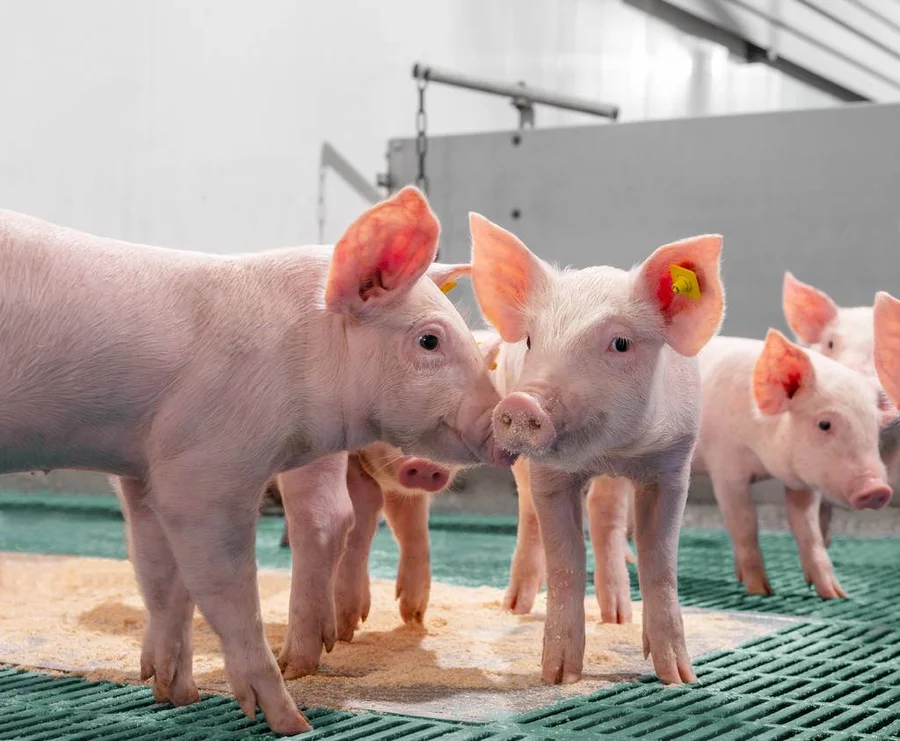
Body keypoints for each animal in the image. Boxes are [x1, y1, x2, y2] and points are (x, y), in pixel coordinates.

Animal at [0, 186, 509, 735]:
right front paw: (289, 722)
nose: (503, 424)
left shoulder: (152, 465)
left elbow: (163, 577)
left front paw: (176, 695)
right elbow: (212, 585)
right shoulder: (201, 468)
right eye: (429, 340)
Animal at [469, 214, 725, 686]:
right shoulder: (550, 475)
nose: (523, 403)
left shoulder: (672, 465)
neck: (612, 450)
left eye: (620, 344)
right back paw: (515, 607)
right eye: (531, 340)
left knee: (605, 516)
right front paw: (557, 677)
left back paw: (618, 616)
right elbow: (566, 560)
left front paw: (680, 678)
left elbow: (660, 560)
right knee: (530, 515)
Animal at [692, 330, 894, 599]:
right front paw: (761, 592)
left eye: (874, 427)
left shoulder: (804, 483)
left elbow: (808, 530)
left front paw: (835, 594)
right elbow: (745, 525)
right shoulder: (726, 467)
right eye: (824, 424)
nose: (876, 489)